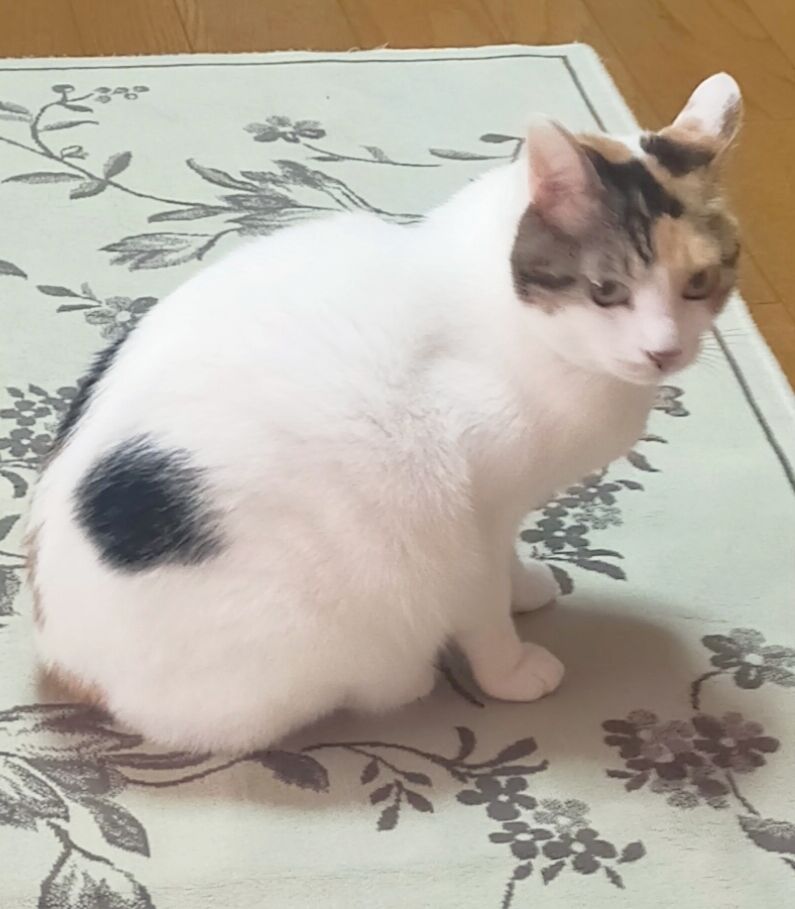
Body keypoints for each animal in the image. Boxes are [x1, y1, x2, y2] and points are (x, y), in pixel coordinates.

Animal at [27, 73, 742, 754]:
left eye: (701, 283)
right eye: (606, 291)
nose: (663, 351)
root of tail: (65, 664)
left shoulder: (504, 510)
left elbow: (509, 561)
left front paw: (526, 586)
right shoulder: (471, 518)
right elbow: (485, 608)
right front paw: (511, 669)